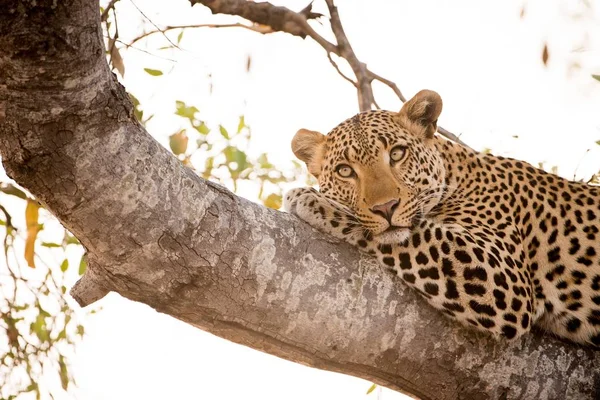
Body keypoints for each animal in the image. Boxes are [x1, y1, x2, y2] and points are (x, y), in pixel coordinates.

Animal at [284, 89, 600, 346]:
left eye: (397, 154)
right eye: (345, 171)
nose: (386, 207)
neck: (457, 173)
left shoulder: (506, 280)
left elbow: (421, 234)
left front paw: (312, 200)